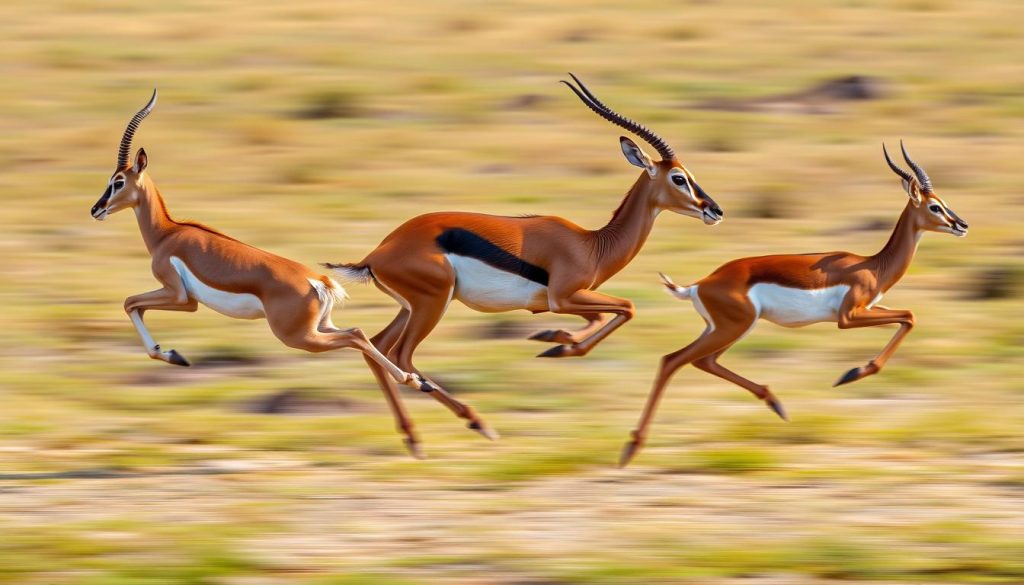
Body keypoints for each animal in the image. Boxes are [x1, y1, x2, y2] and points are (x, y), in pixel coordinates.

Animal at [92, 91, 435, 457]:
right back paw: (418, 387)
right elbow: (133, 305)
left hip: (299, 337)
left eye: (117, 182)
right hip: (320, 327)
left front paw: (175, 356)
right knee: (359, 332)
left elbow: (130, 303)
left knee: (355, 337)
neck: (167, 233)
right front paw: (175, 355)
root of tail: (318, 281)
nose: (96, 209)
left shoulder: (181, 299)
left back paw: (414, 387)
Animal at [324, 74, 724, 442]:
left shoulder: (561, 301)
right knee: (402, 356)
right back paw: (479, 423)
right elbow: (627, 307)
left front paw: (555, 339)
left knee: (377, 346)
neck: (592, 245)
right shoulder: (563, 298)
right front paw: (557, 345)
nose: (714, 210)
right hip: (432, 304)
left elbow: (601, 317)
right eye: (679, 178)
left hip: (411, 307)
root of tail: (378, 253)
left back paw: (414, 437)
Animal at [619, 143, 968, 467]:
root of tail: (698, 285)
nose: (961, 224)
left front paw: (851, 372)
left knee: (702, 361)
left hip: (725, 329)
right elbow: (909, 315)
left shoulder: (866, 311)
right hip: (732, 329)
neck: (873, 266)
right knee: (673, 361)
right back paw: (631, 449)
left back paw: (776, 404)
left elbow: (908, 317)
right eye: (935, 207)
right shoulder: (848, 317)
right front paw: (850, 374)